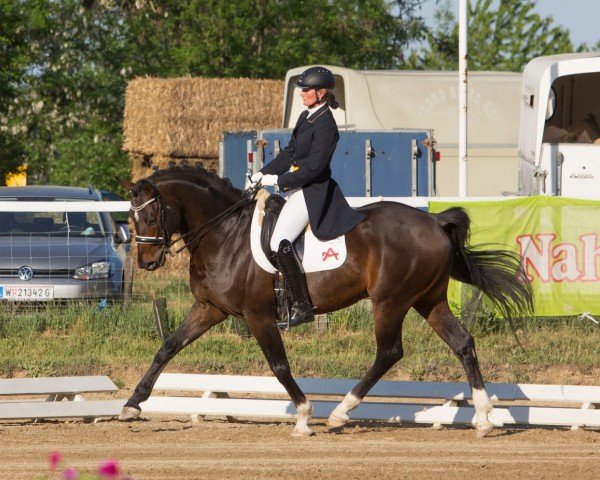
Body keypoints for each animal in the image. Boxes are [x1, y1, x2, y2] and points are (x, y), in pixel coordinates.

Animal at [119, 163, 532, 436]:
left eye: (152, 215)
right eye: (131, 218)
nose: (148, 262)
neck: (224, 233)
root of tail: (433, 222)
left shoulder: (258, 315)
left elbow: (279, 366)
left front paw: (303, 416)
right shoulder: (210, 309)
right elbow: (168, 346)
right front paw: (131, 405)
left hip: (389, 301)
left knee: (389, 352)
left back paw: (339, 414)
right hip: (428, 300)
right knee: (462, 342)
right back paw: (483, 418)